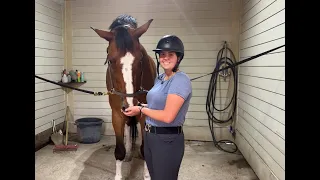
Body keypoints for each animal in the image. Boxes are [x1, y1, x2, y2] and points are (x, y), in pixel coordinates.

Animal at [90, 14, 156, 180]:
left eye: (141, 59)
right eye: (111, 61)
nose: (130, 104)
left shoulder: (144, 113)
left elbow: (146, 149)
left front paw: (147, 175)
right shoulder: (117, 114)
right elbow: (119, 150)